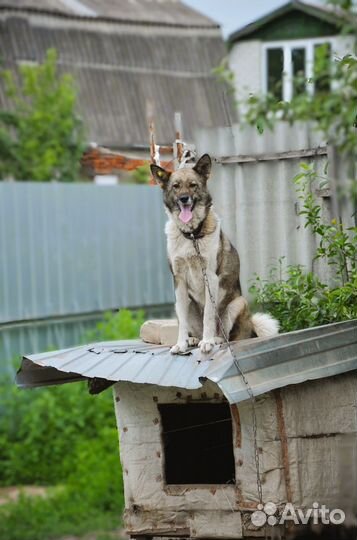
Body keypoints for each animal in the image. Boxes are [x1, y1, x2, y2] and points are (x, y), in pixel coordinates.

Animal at [149, 153, 278, 354]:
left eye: (193, 185)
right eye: (175, 186)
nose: (184, 198)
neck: (192, 235)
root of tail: (251, 329)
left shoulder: (210, 277)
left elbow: (209, 316)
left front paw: (208, 342)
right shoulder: (179, 280)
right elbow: (182, 322)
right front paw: (181, 343)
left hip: (237, 303)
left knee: (227, 335)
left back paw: (214, 339)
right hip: (183, 303)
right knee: (191, 324)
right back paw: (193, 339)